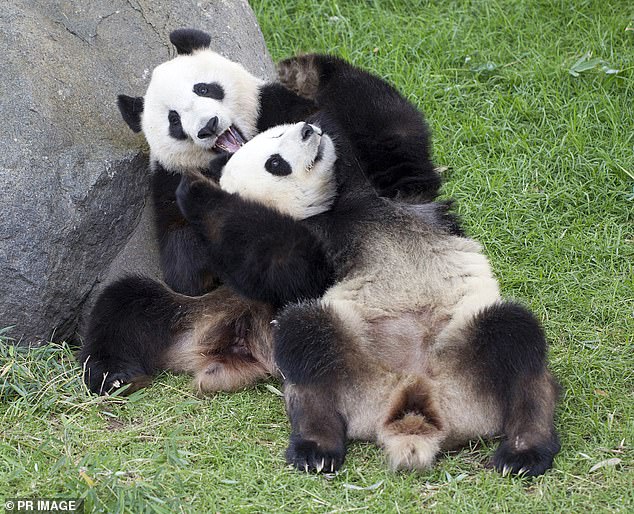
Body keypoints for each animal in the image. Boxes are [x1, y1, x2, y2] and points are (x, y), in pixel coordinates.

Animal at [116, 28, 436, 294]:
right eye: (174, 120)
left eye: (203, 88)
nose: (209, 126)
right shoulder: (167, 183)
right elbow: (187, 270)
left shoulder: (278, 105)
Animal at [172, 118, 556, 474]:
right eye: (276, 162)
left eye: (282, 130)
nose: (309, 130)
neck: (334, 206)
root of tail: (411, 406)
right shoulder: (315, 250)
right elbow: (276, 262)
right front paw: (194, 186)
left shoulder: (398, 193)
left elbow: (396, 144)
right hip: (353, 362)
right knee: (305, 342)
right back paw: (315, 449)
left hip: (462, 343)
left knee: (516, 346)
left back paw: (523, 453)